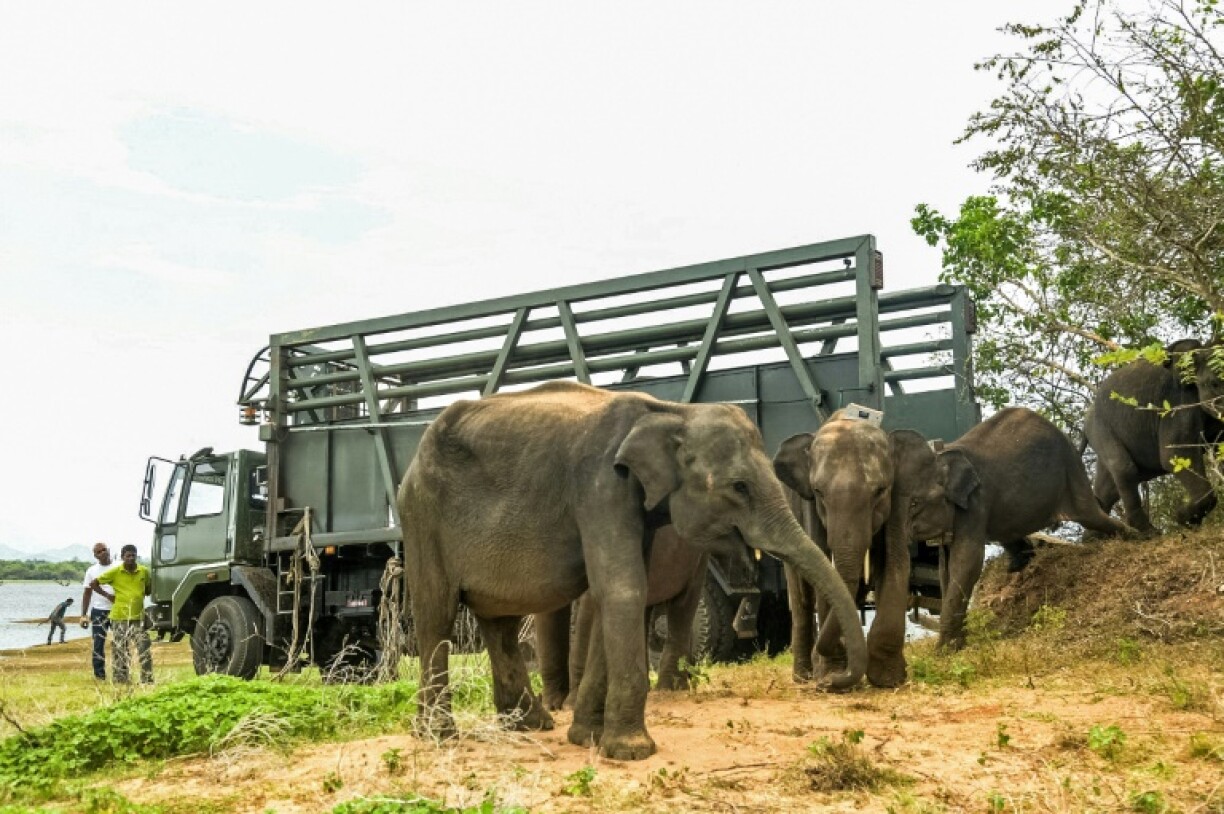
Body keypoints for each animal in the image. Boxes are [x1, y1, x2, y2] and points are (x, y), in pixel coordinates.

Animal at [773, 413, 946, 688]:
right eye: (818, 492)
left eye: (880, 491)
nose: (829, 683)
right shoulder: (811, 509)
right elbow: (823, 568)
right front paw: (830, 673)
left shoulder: (899, 499)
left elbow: (896, 561)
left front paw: (888, 679)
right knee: (801, 597)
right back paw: (803, 675)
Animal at [917, 407, 1137, 650]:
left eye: (916, 502)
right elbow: (946, 567)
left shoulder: (974, 502)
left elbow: (966, 561)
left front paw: (945, 651)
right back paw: (1019, 562)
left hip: (1070, 469)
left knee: (1090, 515)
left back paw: (1139, 536)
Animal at [1084, 338, 1224, 534]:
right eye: (1214, 384)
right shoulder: (1178, 403)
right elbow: (1174, 454)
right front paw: (1182, 518)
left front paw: (1185, 519)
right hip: (1100, 428)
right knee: (1124, 468)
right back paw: (1149, 533)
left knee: (1109, 488)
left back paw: (1097, 537)